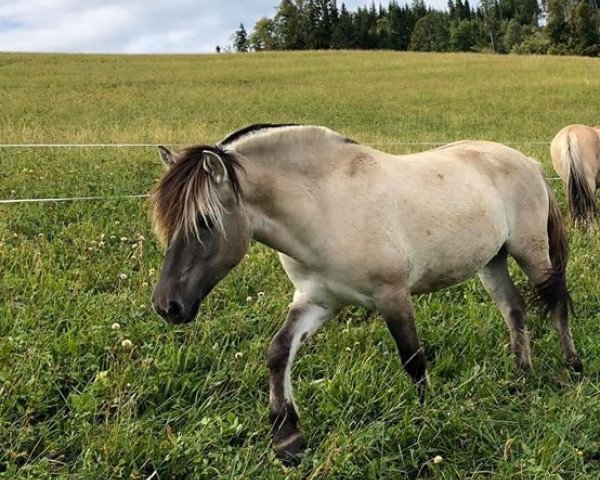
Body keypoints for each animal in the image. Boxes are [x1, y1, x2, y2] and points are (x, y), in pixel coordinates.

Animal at [150, 124, 580, 462]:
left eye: (204, 222)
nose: (167, 306)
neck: (325, 207)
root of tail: (528, 162)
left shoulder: (393, 296)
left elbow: (413, 359)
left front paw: (428, 418)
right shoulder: (317, 301)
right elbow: (278, 352)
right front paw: (288, 437)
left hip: (530, 252)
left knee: (556, 301)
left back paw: (572, 365)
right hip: (491, 261)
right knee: (514, 308)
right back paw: (521, 373)